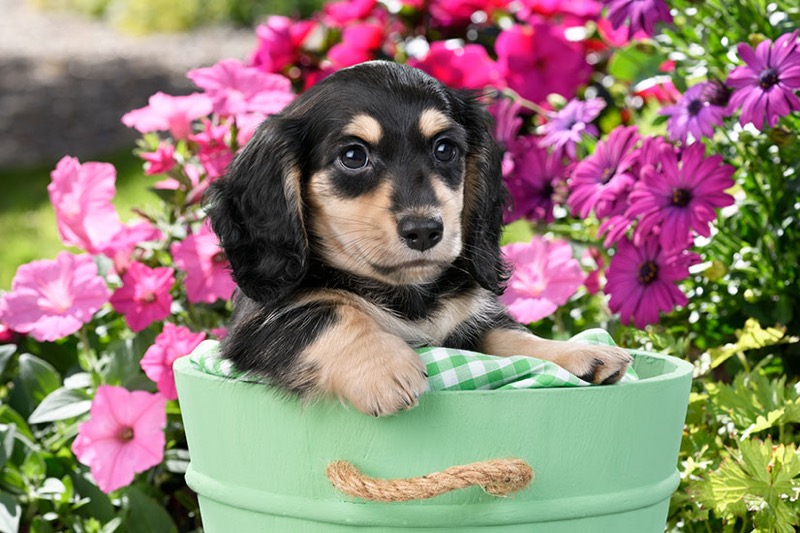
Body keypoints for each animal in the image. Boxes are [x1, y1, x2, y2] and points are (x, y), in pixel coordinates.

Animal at [202, 59, 632, 416]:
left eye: (444, 149)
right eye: (353, 156)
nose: (425, 231)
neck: (407, 293)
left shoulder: (469, 323)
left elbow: (512, 337)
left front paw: (577, 352)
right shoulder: (257, 324)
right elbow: (328, 311)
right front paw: (384, 367)